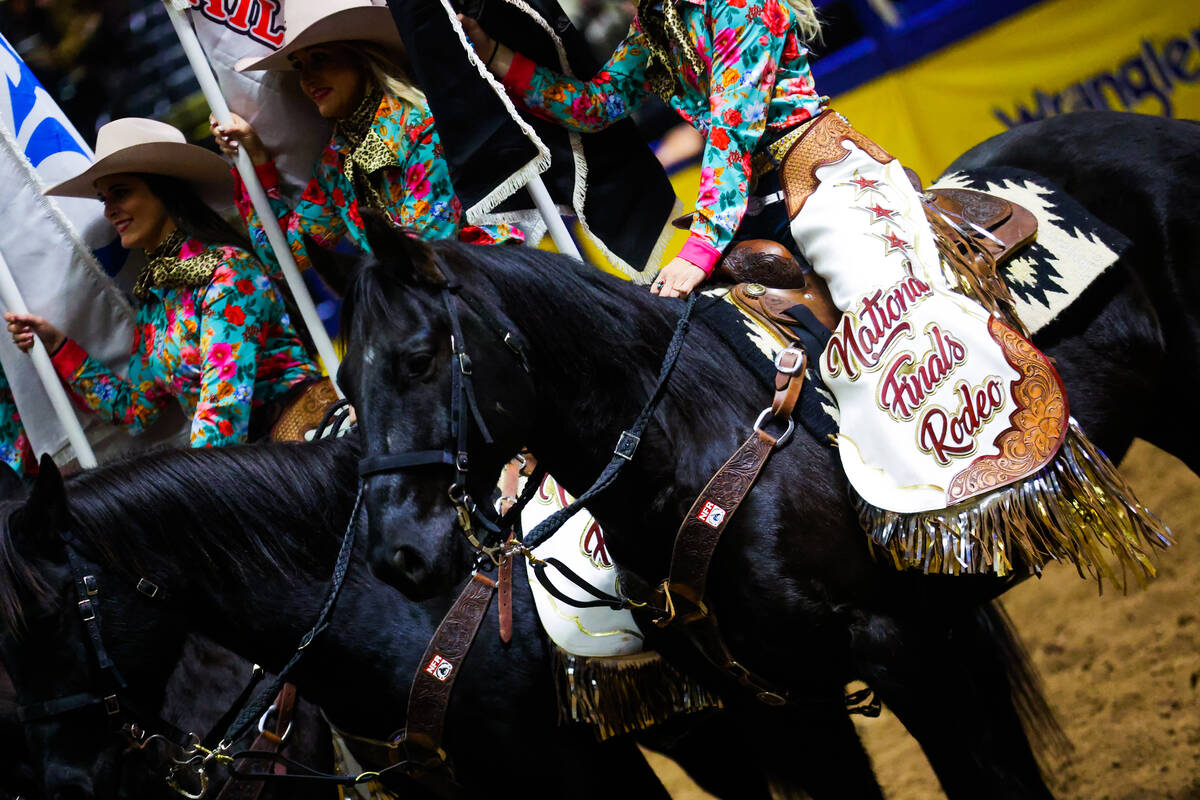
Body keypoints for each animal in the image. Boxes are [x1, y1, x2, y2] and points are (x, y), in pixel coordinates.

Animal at [331, 109, 1200, 796]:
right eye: (345, 383)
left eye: (417, 358)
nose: (397, 555)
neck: (686, 447)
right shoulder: (799, 708)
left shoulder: (909, 651)